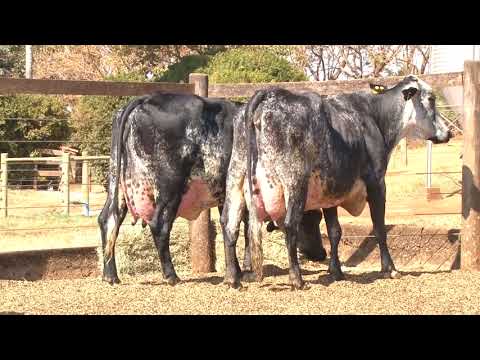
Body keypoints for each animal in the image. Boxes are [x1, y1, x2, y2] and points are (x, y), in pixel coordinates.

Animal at [222, 74, 454, 288]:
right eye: (431, 98)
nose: (449, 131)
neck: (374, 118)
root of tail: (269, 94)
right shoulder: (377, 183)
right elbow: (379, 228)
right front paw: (390, 268)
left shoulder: (330, 191)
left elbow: (335, 231)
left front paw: (336, 270)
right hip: (295, 182)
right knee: (289, 225)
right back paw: (297, 279)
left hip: (235, 180)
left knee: (229, 224)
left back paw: (232, 278)